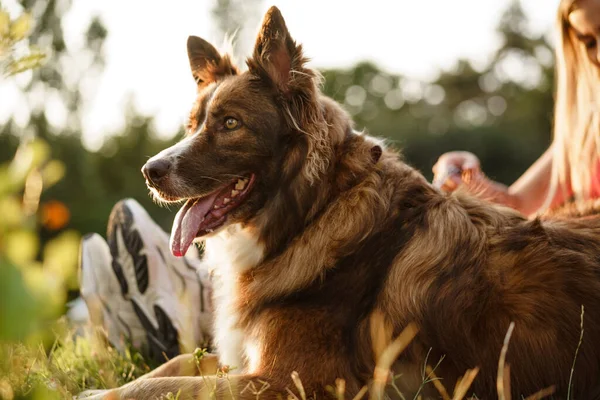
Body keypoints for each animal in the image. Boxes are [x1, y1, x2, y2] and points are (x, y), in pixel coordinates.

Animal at [95, 6, 600, 400]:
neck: (314, 213)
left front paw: (100, 393)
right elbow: (175, 365)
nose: (150, 171)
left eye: (231, 123)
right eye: (193, 125)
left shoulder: (294, 380)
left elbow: (169, 385)